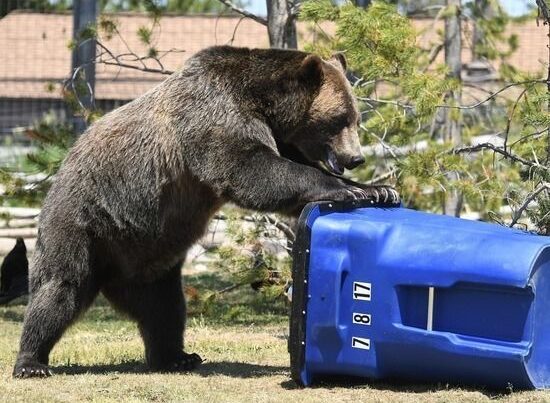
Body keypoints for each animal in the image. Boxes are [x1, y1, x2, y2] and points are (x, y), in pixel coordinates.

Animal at [12, 45, 398, 378]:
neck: (263, 104)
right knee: (60, 288)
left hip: (147, 257)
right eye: (340, 119)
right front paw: (347, 189)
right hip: (84, 224)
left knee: (164, 308)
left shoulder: (273, 134)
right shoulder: (213, 117)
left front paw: (379, 189)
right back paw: (32, 362)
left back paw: (176, 356)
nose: (355, 158)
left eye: (356, 118)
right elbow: (253, 170)